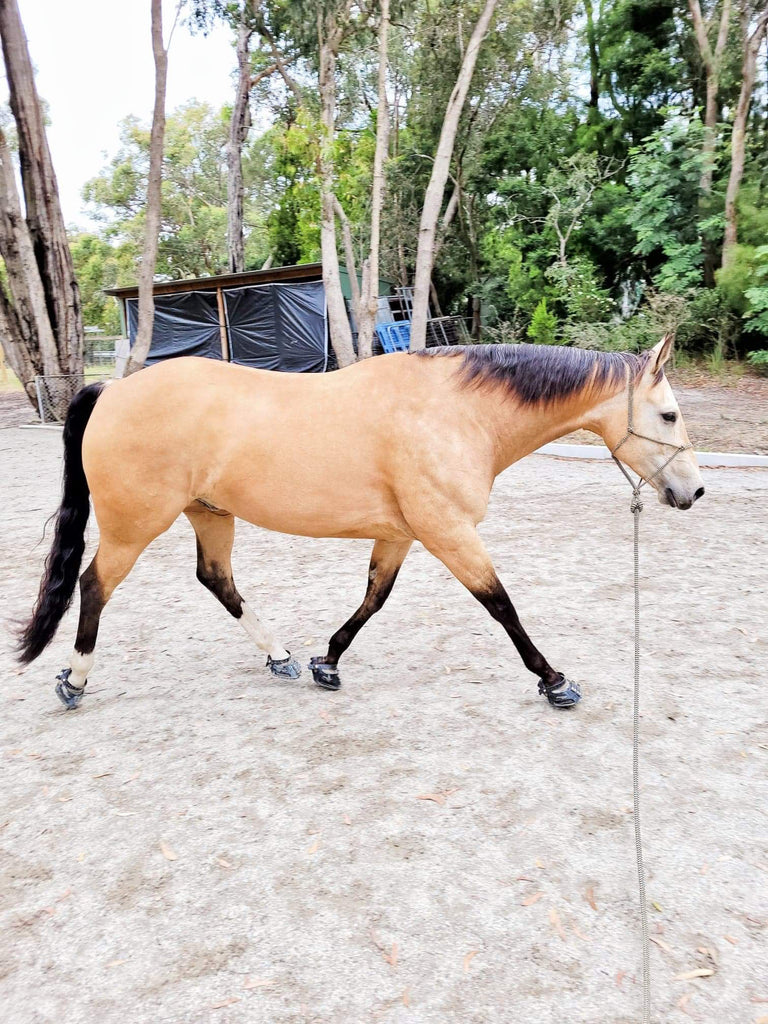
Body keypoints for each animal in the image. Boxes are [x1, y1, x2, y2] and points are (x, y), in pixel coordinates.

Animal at [18, 331, 704, 708]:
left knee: (217, 580)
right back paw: (75, 681)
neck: (456, 414)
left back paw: (281, 658)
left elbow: (374, 599)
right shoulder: (448, 533)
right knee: (94, 587)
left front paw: (327, 662)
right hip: (134, 526)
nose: (694, 491)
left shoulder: (400, 535)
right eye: (669, 415)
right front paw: (555, 682)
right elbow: (501, 606)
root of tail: (113, 389)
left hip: (210, 515)